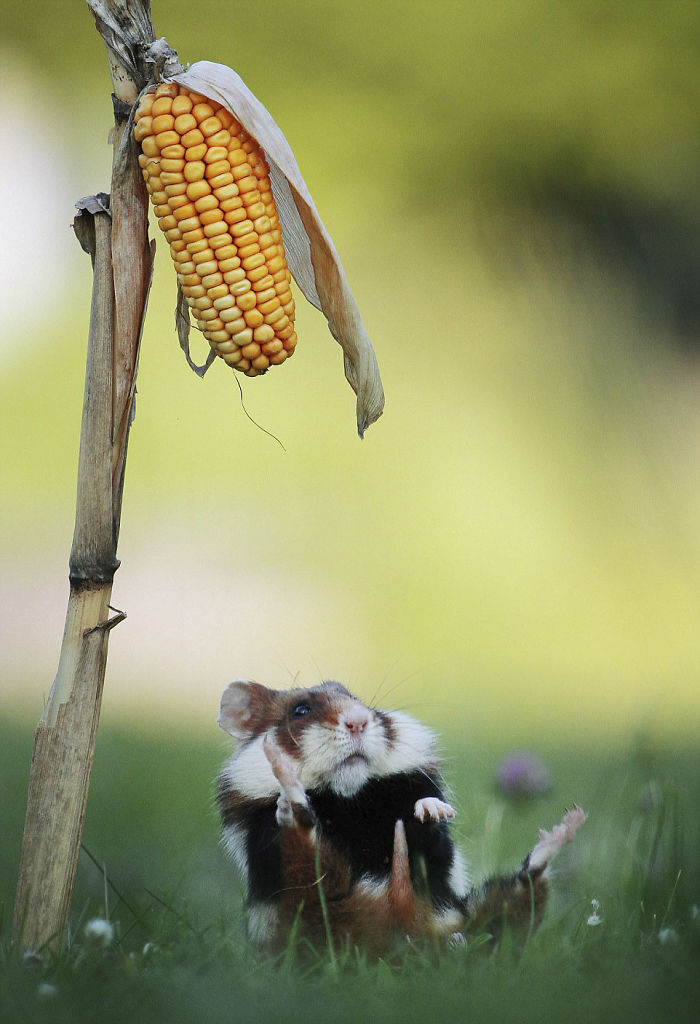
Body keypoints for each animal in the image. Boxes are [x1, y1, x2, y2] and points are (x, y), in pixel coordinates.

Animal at [216, 679, 585, 954]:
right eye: (300, 710)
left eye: (358, 699)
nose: (358, 720)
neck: (350, 797)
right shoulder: (262, 840)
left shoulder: (434, 857)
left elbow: (433, 843)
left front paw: (431, 810)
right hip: (308, 911)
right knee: (303, 837)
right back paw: (286, 778)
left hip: (479, 912)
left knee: (521, 894)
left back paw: (569, 823)